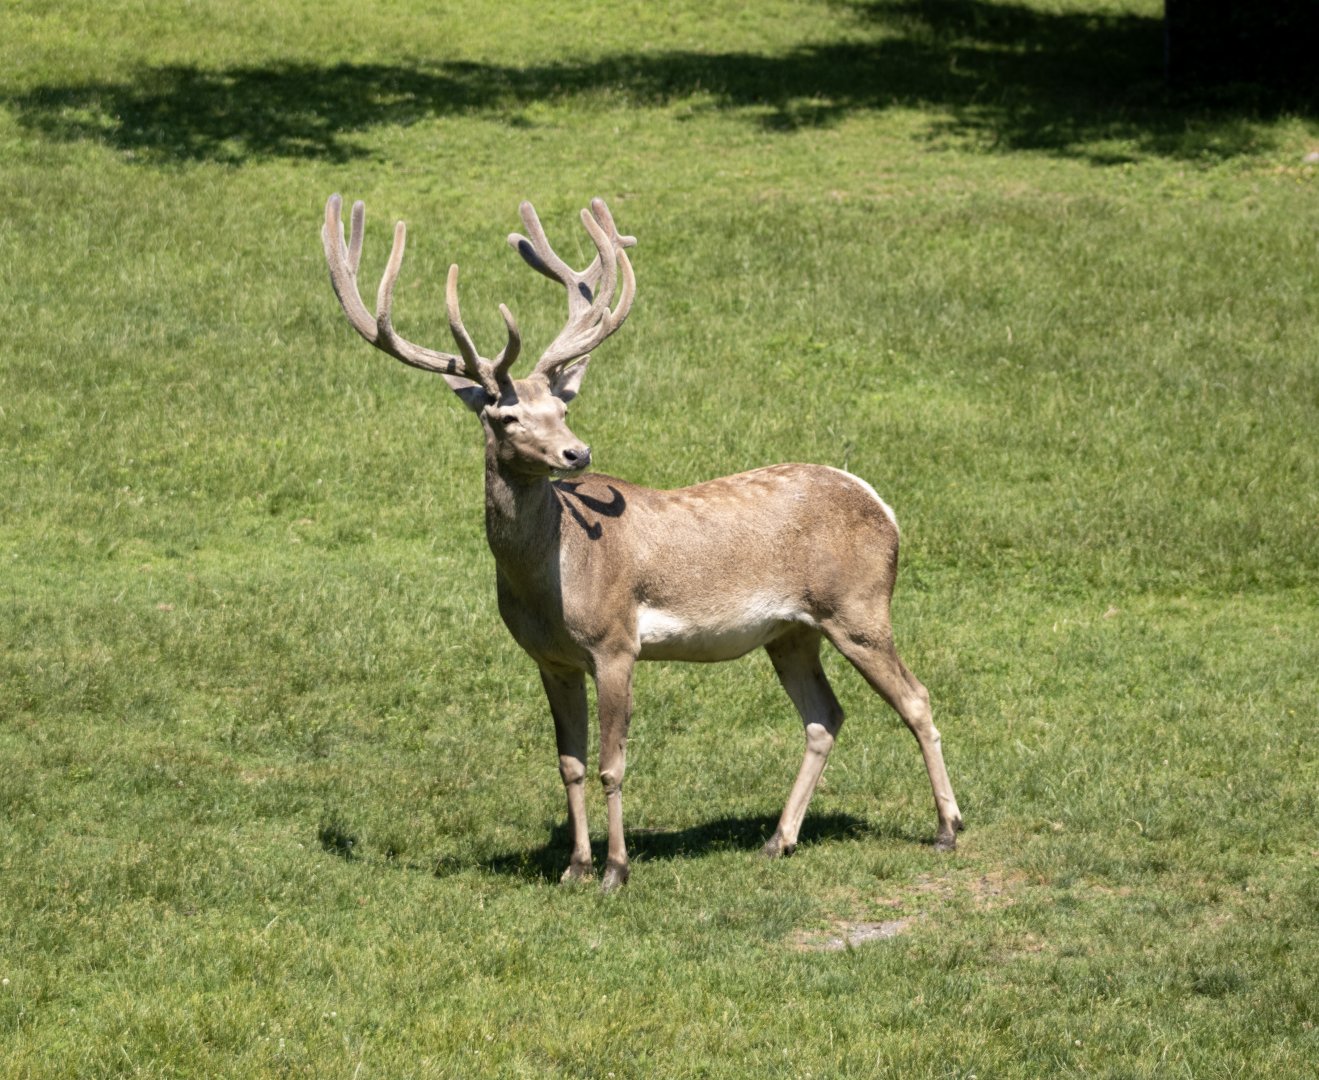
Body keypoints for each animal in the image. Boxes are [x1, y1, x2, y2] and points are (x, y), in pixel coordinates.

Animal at [320, 192, 962, 891]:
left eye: (563, 408)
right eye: (506, 415)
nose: (577, 452)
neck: (551, 581)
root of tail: (884, 506)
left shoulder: (615, 642)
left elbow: (612, 763)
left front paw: (616, 870)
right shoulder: (549, 659)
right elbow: (569, 763)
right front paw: (574, 867)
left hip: (858, 606)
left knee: (916, 698)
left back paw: (947, 829)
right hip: (792, 630)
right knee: (824, 716)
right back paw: (778, 840)